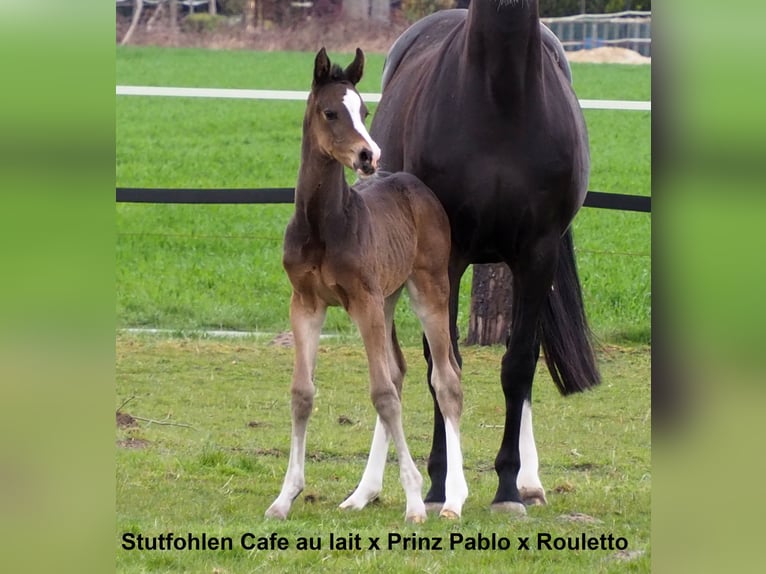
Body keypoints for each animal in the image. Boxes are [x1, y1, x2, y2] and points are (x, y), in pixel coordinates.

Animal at [368, 2, 608, 516]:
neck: (501, 97)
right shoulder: (448, 258)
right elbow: (443, 365)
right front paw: (442, 485)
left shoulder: (537, 254)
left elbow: (518, 365)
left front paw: (508, 488)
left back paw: (530, 482)